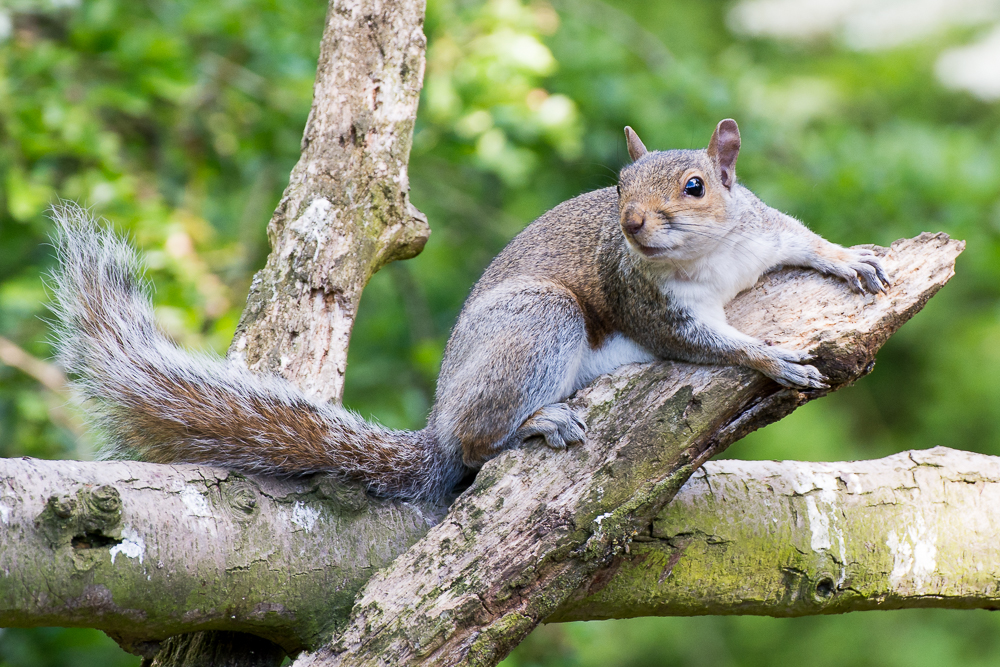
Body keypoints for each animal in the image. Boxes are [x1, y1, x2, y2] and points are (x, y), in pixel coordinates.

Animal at [48, 120, 892, 504]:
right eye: (620, 186)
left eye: (697, 185)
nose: (630, 225)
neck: (709, 259)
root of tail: (438, 419)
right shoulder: (649, 304)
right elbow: (709, 341)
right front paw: (769, 355)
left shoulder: (764, 231)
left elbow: (805, 240)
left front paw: (853, 257)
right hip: (540, 321)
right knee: (478, 444)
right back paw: (533, 422)